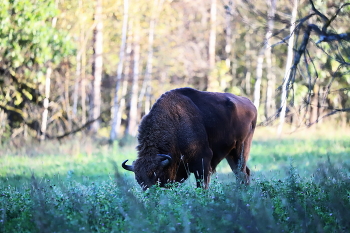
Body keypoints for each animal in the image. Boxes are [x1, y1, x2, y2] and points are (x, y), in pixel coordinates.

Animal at [122, 87, 258, 189]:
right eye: (139, 181)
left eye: (157, 178)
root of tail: (250, 104)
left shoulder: (203, 163)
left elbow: (202, 185)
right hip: (230, 154)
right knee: (242, 172)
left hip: (241, 149)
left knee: (242, 172)